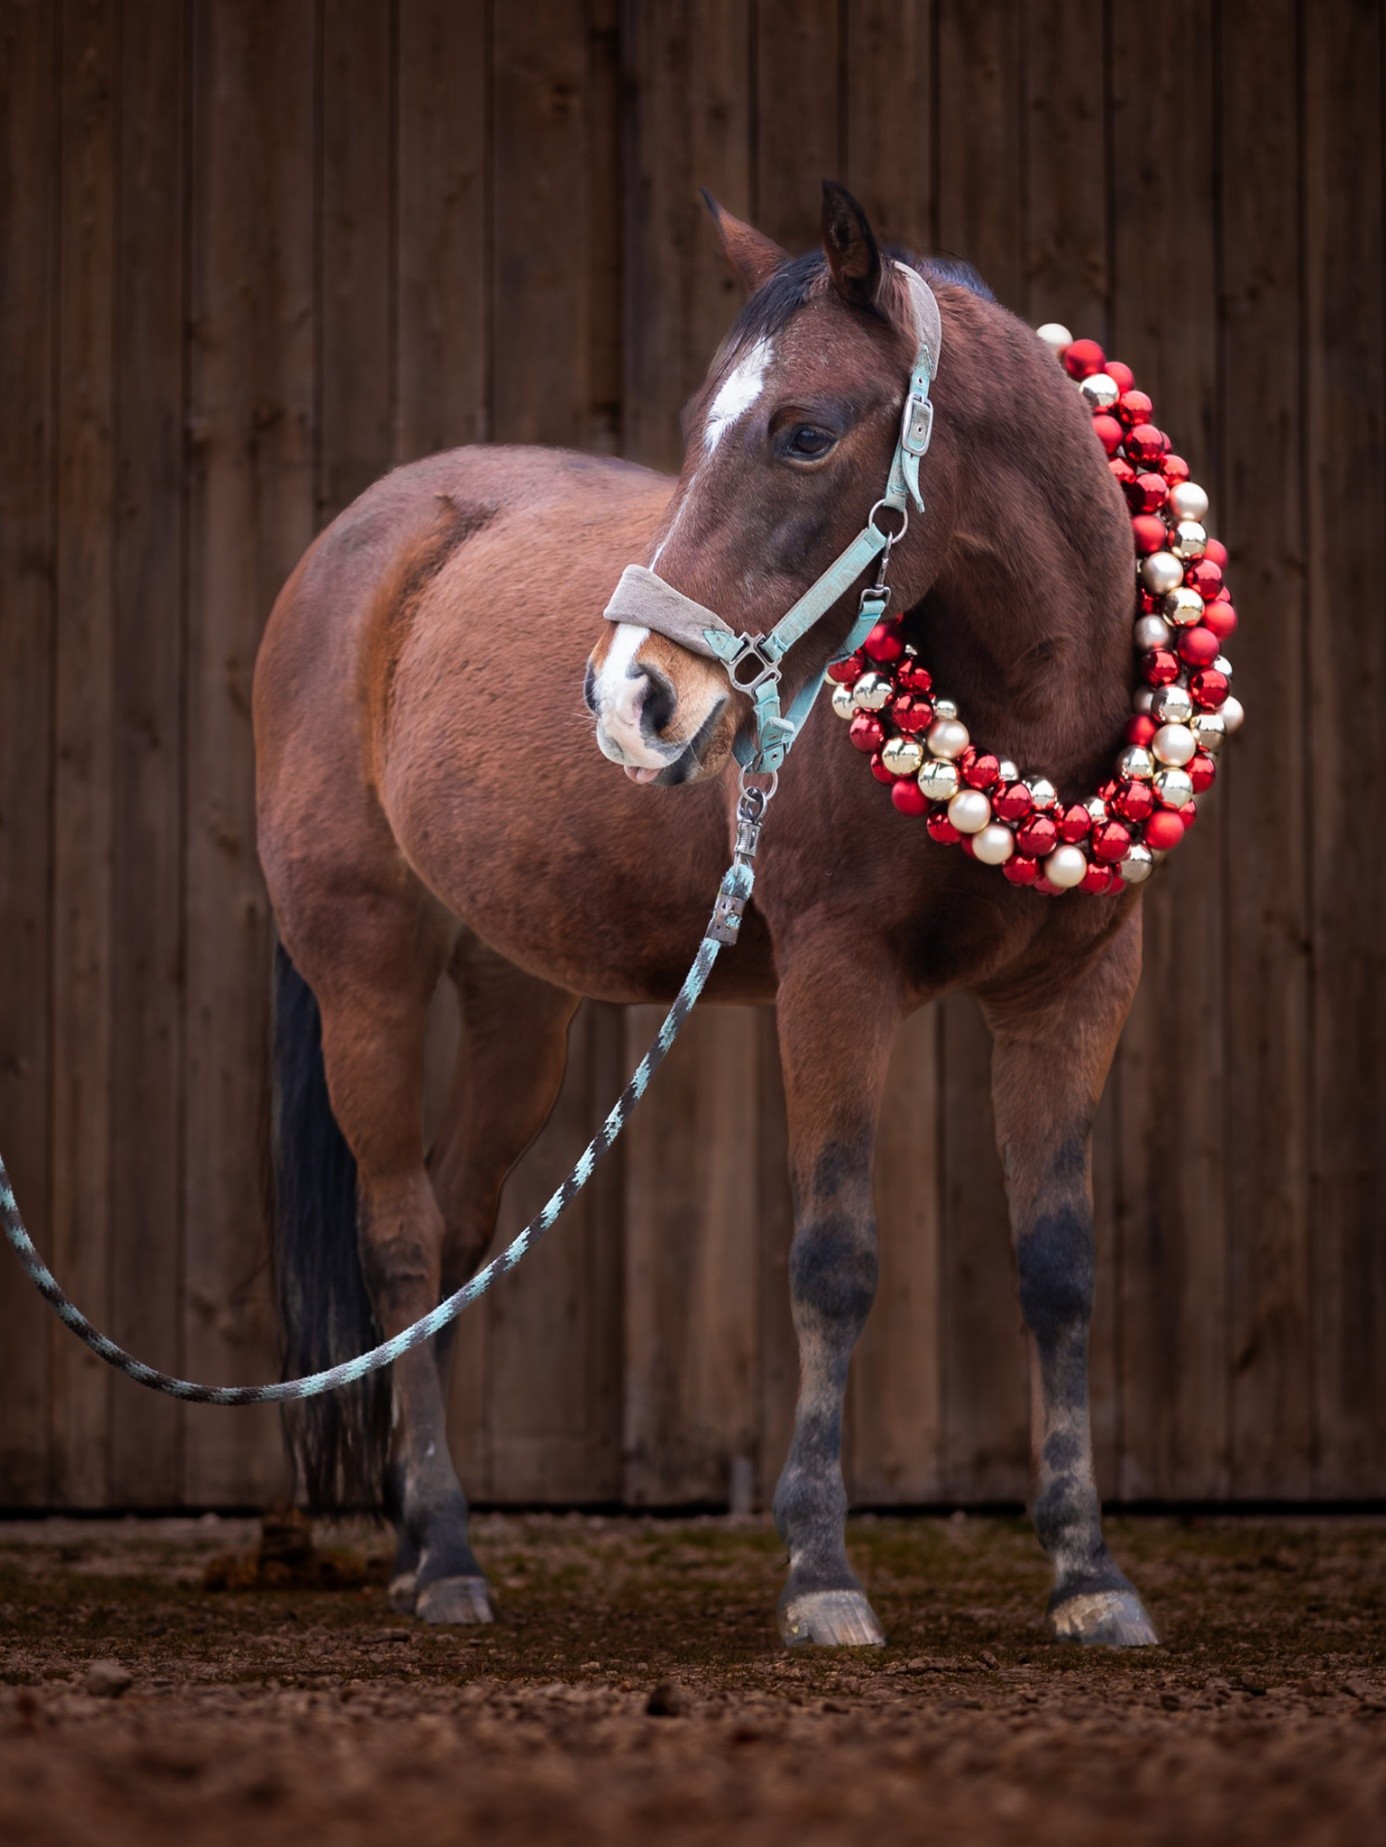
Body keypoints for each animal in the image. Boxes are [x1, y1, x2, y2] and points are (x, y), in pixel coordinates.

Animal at [253, 181, 1157, 1649]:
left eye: (805, 432)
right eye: (693, 429)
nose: (632, 696)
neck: (1024, 730)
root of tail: (367, 539)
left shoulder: (1076, 989)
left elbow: (1059, 1263)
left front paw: (1089, 1572)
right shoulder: (836, 982)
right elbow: (833, 1258)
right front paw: (822, 1570)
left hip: (520, 1005)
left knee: (455, 1232)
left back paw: (418, 1539)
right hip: (365, 980)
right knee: (398, 1243)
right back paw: (444, 1556)